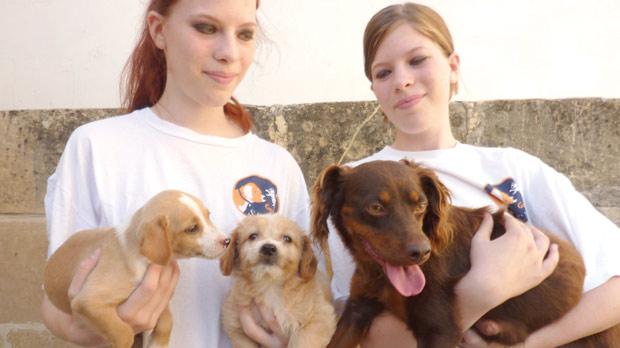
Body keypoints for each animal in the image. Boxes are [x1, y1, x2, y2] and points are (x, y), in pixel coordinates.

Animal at [43, 190, 229, 348]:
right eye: (192, 229)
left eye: (208, 216)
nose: (227, 241)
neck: (141, 260)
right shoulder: (88, 301)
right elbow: (123, 332)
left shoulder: (161, 298)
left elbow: (167, 321)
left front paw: (159, 343)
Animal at [220, 215, 336, 348]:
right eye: (253, 236)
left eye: (287, 238)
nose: (268, 248)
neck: (270, 285)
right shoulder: (236, 329)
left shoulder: (320, 318)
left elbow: (301, 341)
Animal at [314, 160, 620, 348]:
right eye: (376, 207)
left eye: (421, 205)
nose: (422, 253)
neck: (380, 274)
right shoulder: (358, 308)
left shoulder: (439, 330)